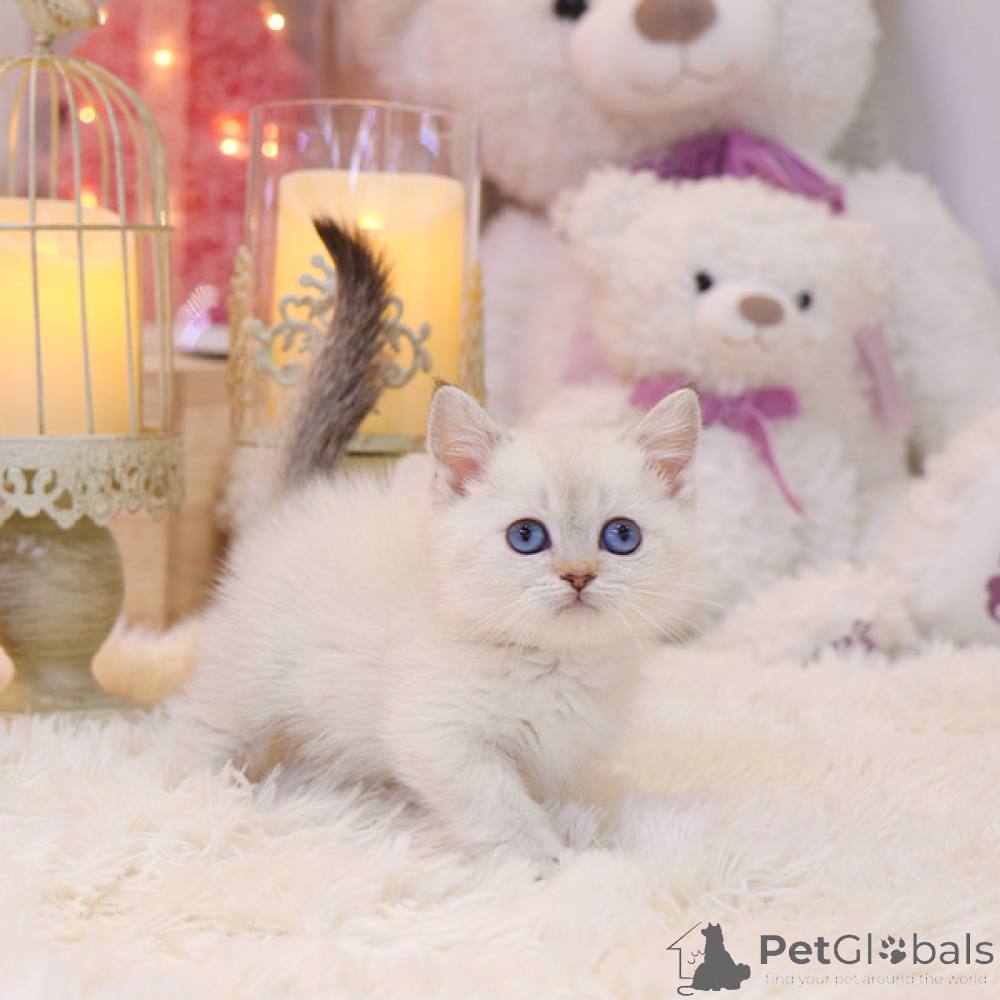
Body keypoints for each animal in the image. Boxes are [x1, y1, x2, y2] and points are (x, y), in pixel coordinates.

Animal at [167, 220, 703, 873]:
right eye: (527, 536)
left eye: (620, 536)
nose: (578, 576)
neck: (555, 664)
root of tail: (298, 500)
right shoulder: (439, 735)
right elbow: (499, 805)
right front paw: (544, 864)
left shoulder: (562, 755)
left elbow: (549, 796)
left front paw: (578, 834)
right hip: (250, 675)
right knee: (203, 721)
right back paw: (201, 794)